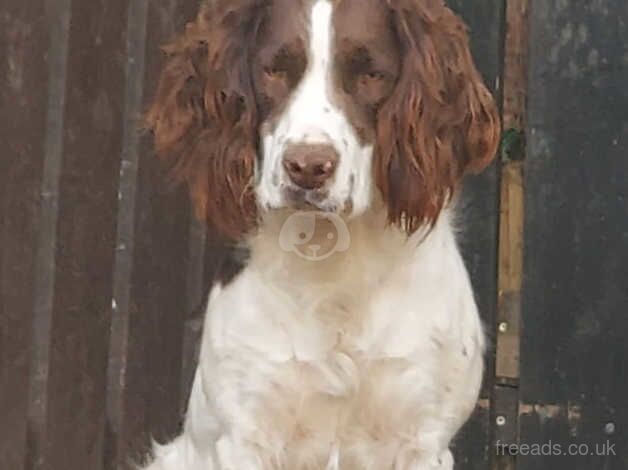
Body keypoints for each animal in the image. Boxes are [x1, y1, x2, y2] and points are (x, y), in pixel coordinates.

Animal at [142, 0, 500, 468]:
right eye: (274, 71)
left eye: (371, 75)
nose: (308, 167)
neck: (331, 256)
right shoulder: (247, 430)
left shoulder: (422, 437)